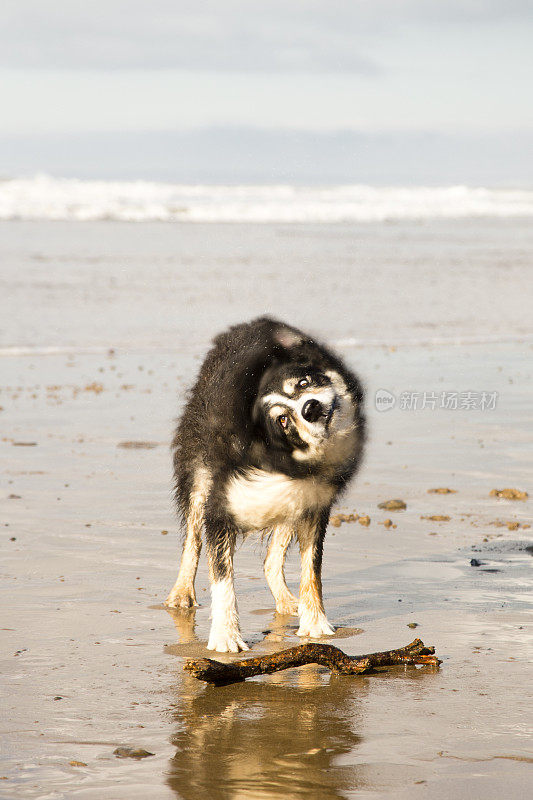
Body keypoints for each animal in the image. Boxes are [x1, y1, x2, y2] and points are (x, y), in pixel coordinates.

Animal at [165, 316, 366, 652]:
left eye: (303, 384)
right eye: (282, 420)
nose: (311, 408)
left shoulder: (312, 501)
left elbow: (311, 571)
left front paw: (315, 623)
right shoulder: (221, 507)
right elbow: (222, 579)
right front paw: (226, 636)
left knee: (272, 558)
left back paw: (287, 602)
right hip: (199, 469)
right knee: (192, 538)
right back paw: (181, 594)